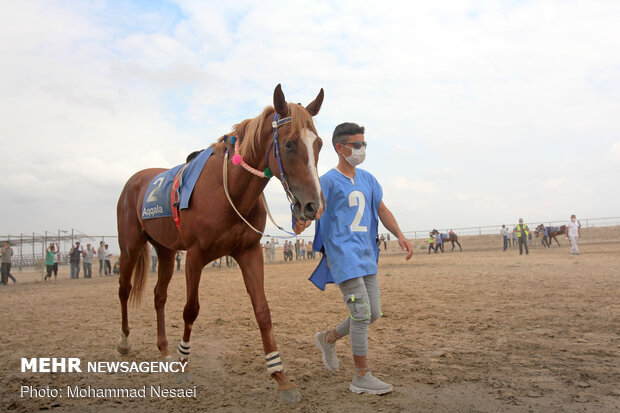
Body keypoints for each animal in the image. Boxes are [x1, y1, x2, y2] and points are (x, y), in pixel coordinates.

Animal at [118, 84, 326, 402]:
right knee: (124, 289)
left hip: (165, 251)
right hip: (130, 247)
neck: (229, 190)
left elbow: (262, 311)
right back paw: (125, 342)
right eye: (290, 145)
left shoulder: (249, 252)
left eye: (319, 145)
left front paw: (280, 376)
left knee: (158, 296)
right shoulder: (195, 257)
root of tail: (135, 180)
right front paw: (184, 365)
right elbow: (190, 310)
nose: (313, 206)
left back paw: (164, 349)